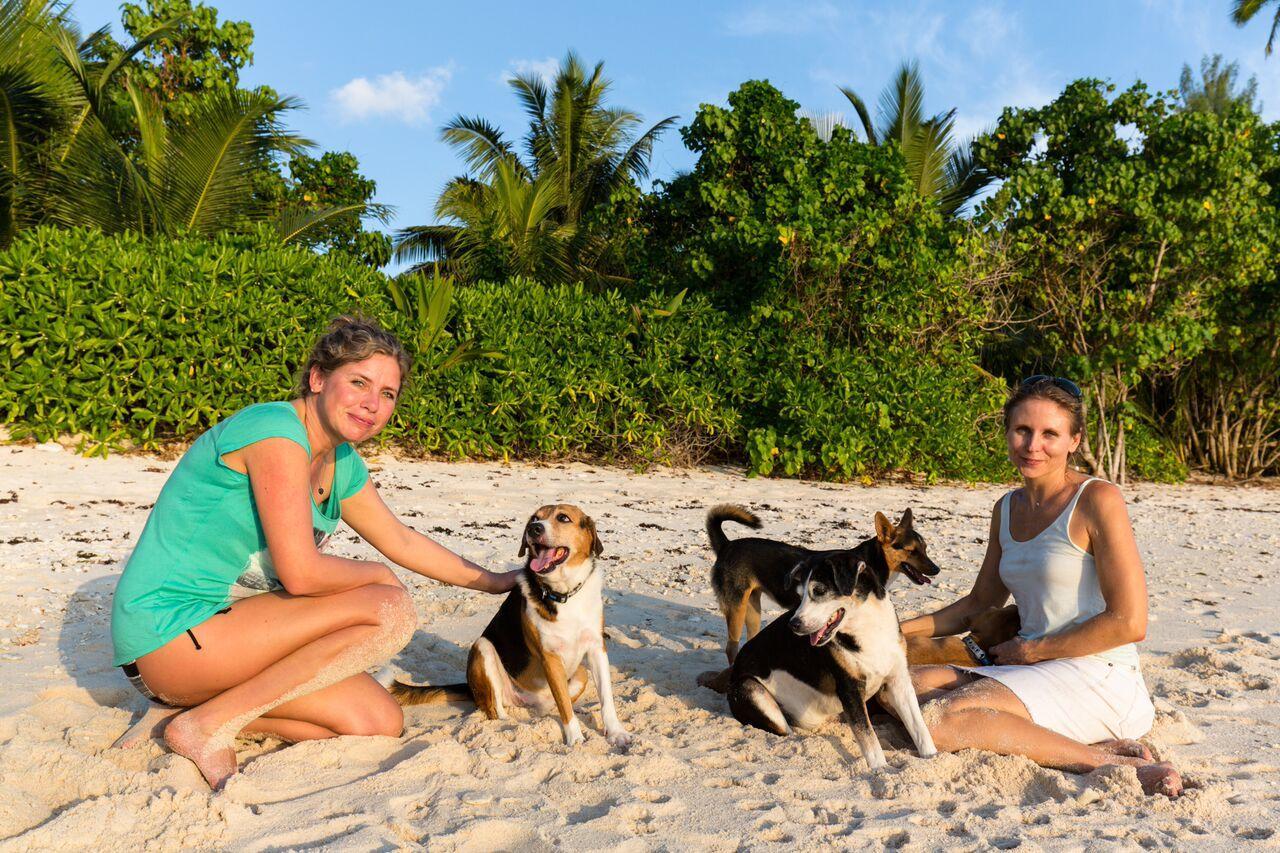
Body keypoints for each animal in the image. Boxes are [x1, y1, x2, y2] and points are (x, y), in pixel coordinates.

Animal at [386, 502, 632, 747]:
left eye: (563, 518)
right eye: (535, 518)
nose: (534, 529)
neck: (564, 593)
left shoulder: (597, 648)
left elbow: (606, 699)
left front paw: (615, 732)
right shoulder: (550, 657)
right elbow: (564, 706)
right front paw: (576, 739)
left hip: (580, 673)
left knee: (556, 703)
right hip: (483, 648)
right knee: (495, 711)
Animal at [727, 545, 936, 768]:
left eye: (819, 591)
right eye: (800, 595)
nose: (794, 625)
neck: (867, 627)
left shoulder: (899, 682)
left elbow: (919, 728)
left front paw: (932, 757)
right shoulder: (849, 688)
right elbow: (869, 740)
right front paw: (880, 769)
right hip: (750, 689)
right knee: (787, 731)